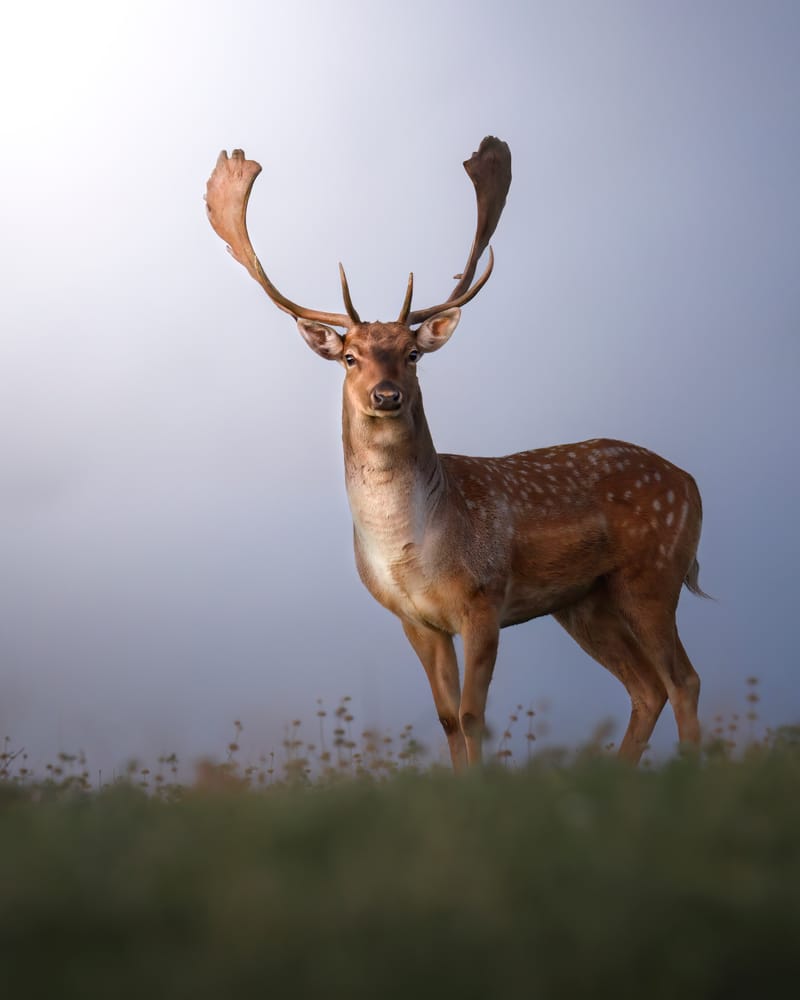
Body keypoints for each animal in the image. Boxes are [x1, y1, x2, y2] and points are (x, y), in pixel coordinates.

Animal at [205, 137, 706, 770]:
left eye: (412, 354)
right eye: (350, 357)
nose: (386, 395)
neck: (413, 550)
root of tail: (690, 482)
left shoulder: (484, 598)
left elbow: (472, 715)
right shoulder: (414, 620)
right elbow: (446, 720)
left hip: (653, 571)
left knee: (682, 680)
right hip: (584, 601)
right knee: (645, 688)